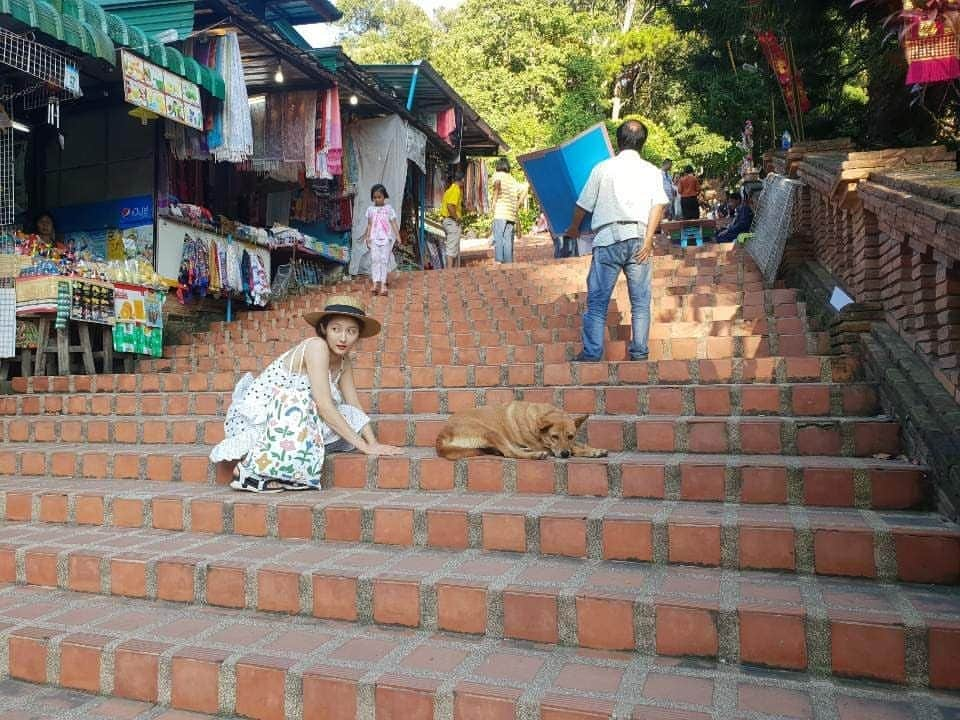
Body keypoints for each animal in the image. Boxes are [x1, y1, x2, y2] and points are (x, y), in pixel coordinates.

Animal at [436, 400, 608, 462]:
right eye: (554, 437)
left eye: (570, 436)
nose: (565, 455)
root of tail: (441, 433)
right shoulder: (543, 445)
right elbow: (574, 449)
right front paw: (588, 452)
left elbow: (578, 445)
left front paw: (594, 450)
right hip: (490, 431)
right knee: (509, 452)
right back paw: (534, 455)